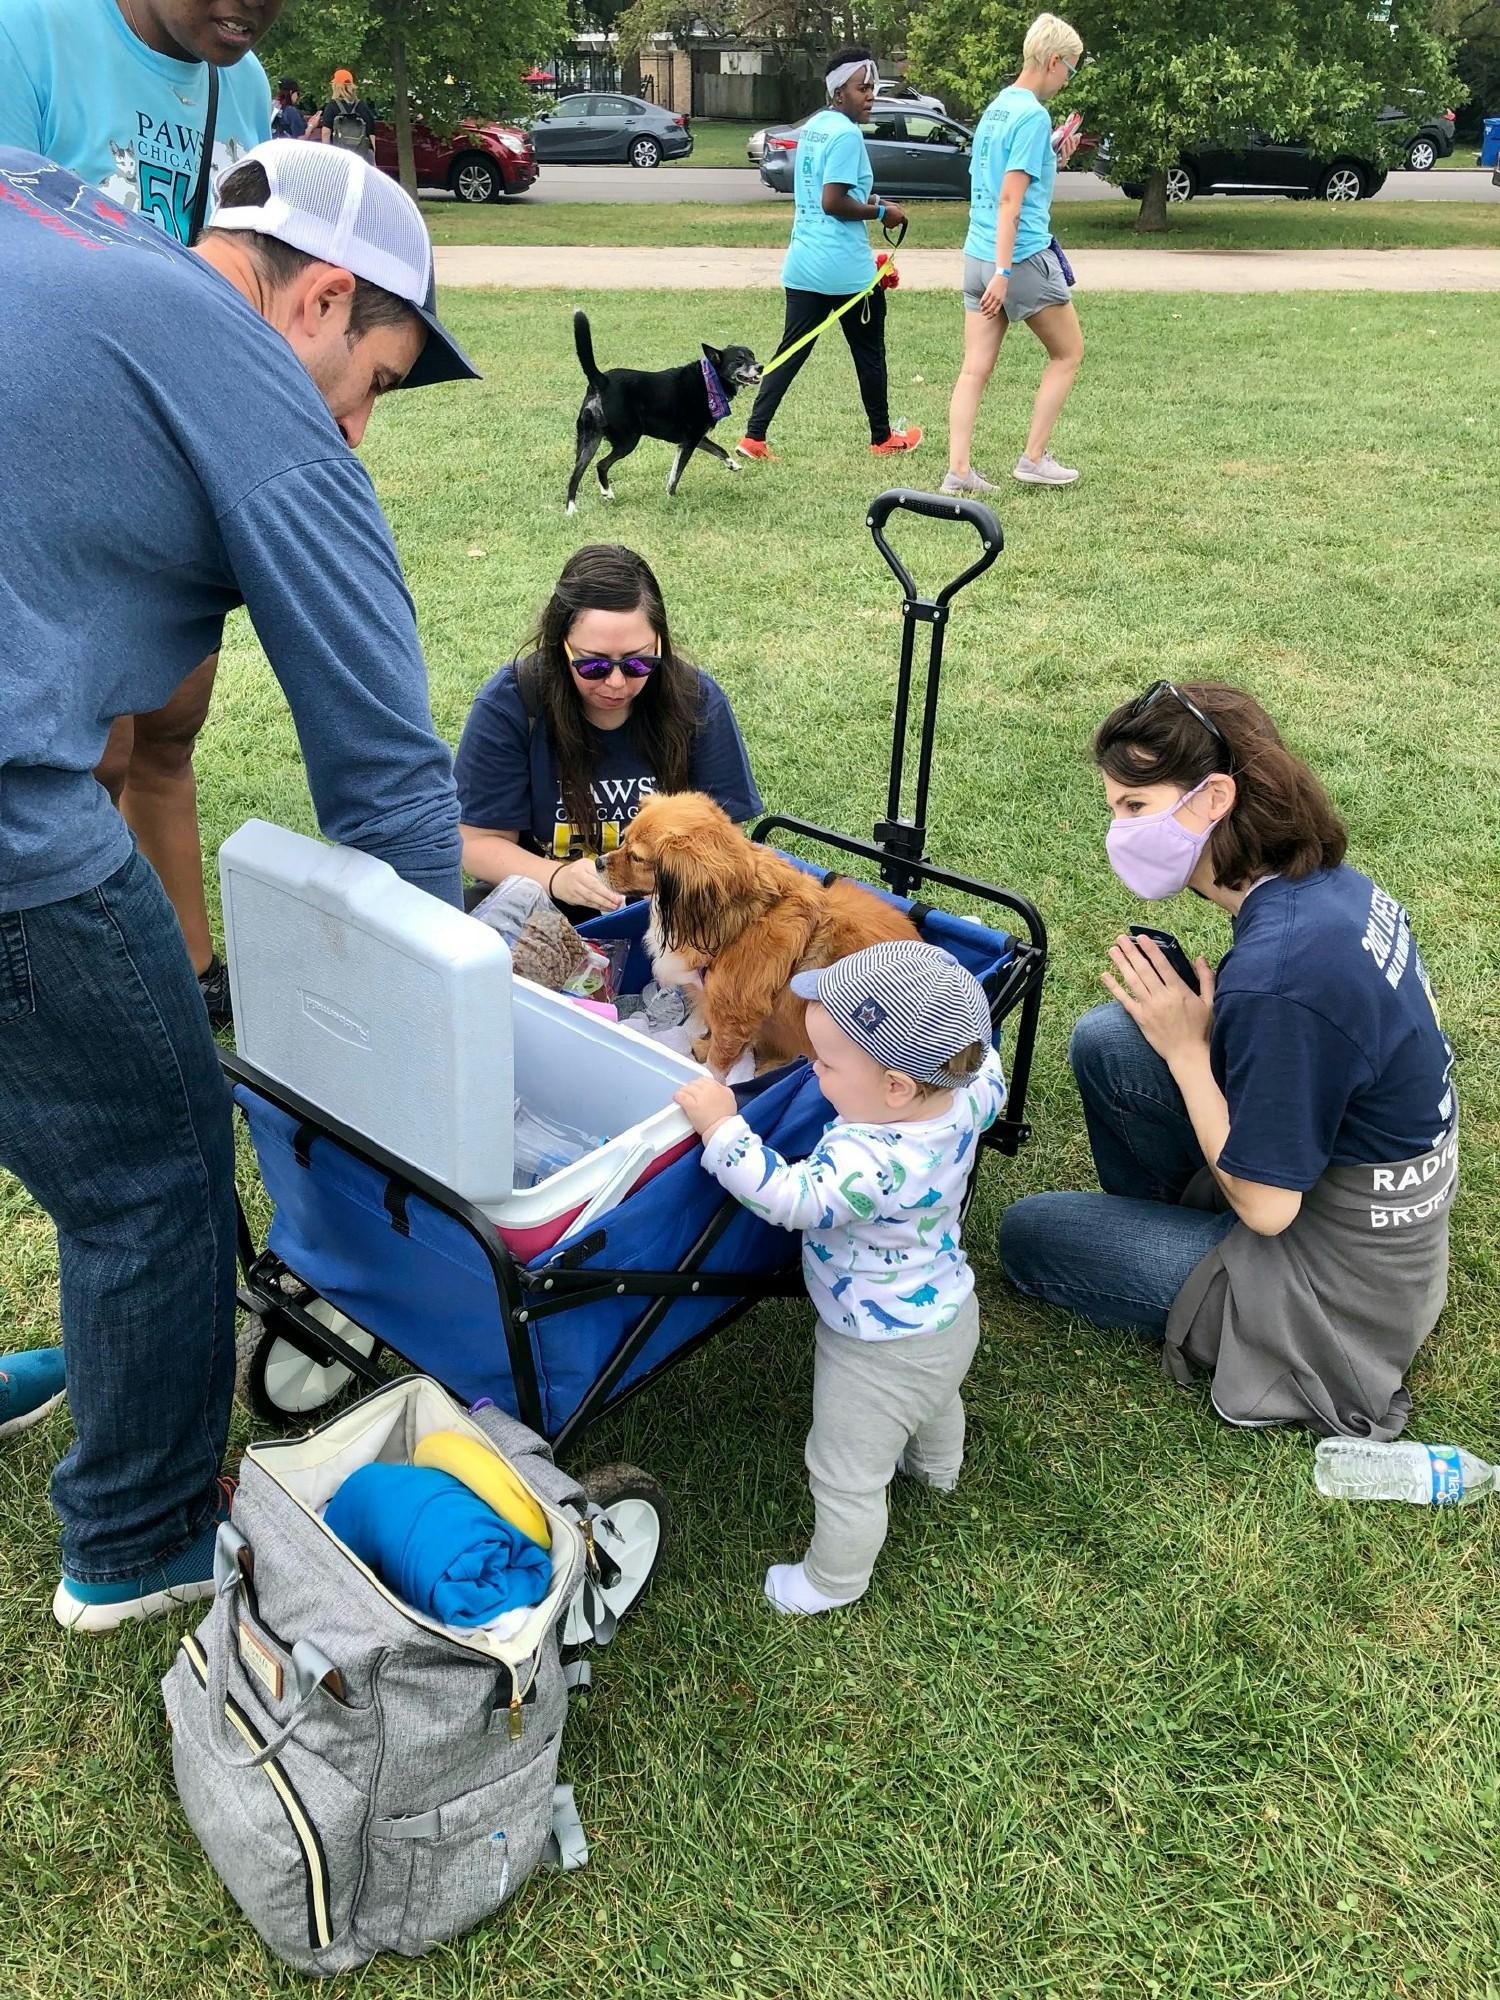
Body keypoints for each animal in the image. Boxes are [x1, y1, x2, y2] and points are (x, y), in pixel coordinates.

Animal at [568, 310, 768, 512]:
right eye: (739, 359)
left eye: (752, 355)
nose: (760, 367)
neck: (708, 380)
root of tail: (602, 380)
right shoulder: (691, 440)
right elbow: (676, 475)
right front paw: (670, 496)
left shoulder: (693, 439)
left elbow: (718, 450)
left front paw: (733, 464)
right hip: (627, 440)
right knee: (601, 465)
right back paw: (607, 493)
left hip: (589, 440)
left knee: (575, 474)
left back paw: (571, 509)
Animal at [608, 796, 916, 1080]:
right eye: (623, 840)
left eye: (636, 857)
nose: (600, 862)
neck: (742, 916)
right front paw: (703, 1047)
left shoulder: (734, 1015)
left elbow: (718, 1061)